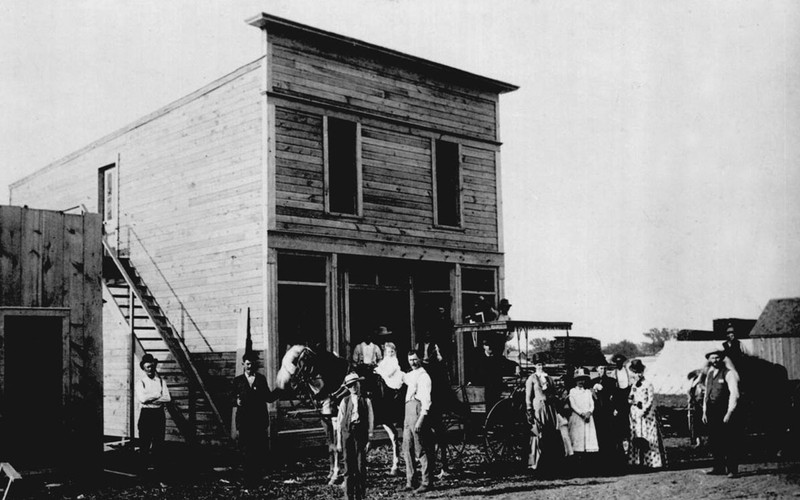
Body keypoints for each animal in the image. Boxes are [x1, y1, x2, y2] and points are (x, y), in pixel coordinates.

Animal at [276, 344, 404, 484]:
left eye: (305, 362)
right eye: (296, 362)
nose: (293, 384)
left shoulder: (337, 419)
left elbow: (338, 447)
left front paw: (336, 475)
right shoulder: (326, 420)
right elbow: (332, 447)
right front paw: (331, 474)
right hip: (385, 418)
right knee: (394, 435)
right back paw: (394, 468)